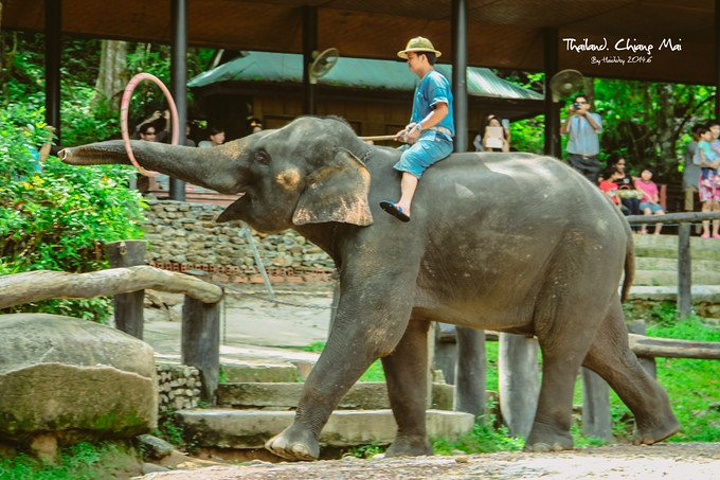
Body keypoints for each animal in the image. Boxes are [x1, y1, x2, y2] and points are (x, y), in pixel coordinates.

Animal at [59, 115, 676, 462]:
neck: (366, 156)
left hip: (582, 251)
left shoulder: (392, 231)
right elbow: (402, 339)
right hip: (587, 259)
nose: (62, 151)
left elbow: (373, 325)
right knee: (603, 345)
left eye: (261, 155)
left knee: (562, 339)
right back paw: (659, 435)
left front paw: (284, 451)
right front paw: (401, 455)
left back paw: (547, 446)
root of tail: (619, 218)